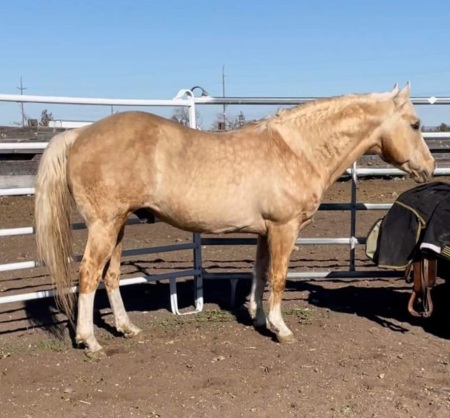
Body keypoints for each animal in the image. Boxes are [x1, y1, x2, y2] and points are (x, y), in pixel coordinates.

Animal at [35, 84, 436, 356]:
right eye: (416, 124)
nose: (430, 167)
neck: (297, 150)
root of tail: (79, 134)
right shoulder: (284, 229)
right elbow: (278, 277)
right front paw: (280, 328)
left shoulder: (265, 231)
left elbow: (259, 273)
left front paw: (257, 317)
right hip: (104, 225)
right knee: (89, 274)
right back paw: (90, 341)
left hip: (117, 225)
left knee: (111, 275)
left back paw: (126, 328)